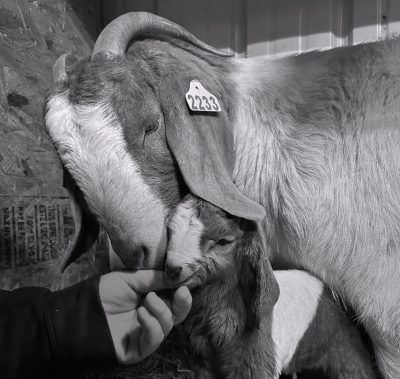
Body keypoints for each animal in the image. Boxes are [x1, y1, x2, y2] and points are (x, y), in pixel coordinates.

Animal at [165, 196, 376, 379]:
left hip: (346, 353)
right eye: (170, 231)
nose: (172, 269)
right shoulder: (202, 362)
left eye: (224, 241)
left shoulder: (256, 366)